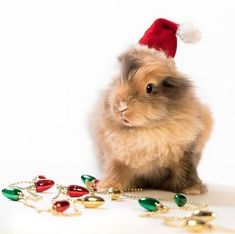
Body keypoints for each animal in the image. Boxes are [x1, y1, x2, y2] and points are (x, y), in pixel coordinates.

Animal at [90, 44, 213, 195]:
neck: (147, 129)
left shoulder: (184, 154)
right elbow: (115, 170)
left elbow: (185, 171)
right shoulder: (117, 157)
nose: (121, 106)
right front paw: (107, 187)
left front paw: (193, 189)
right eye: (119, 80)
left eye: (149, 87)